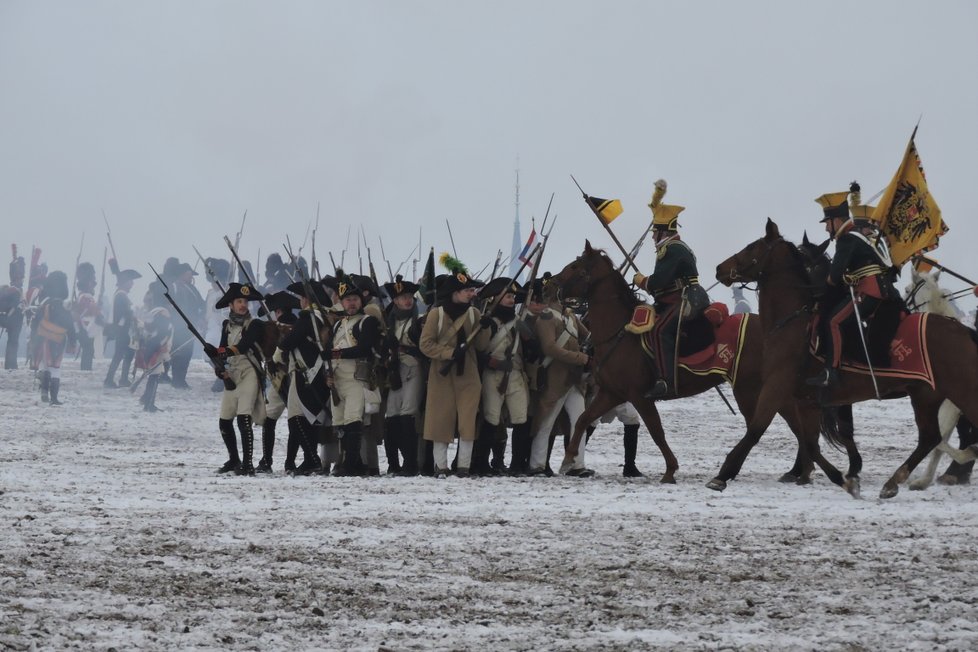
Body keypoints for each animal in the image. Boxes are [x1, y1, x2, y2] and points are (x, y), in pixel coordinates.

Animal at [544, 239, 852, 484]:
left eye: (575, 266)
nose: (550, 286)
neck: (620, 330)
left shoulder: (640, 396)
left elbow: (656, 430)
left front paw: (670, 470)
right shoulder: (612, 393)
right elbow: (583, 419)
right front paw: (568, 459)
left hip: (755, 389)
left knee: (788, 425)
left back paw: (801, 470)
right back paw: (800, 470)